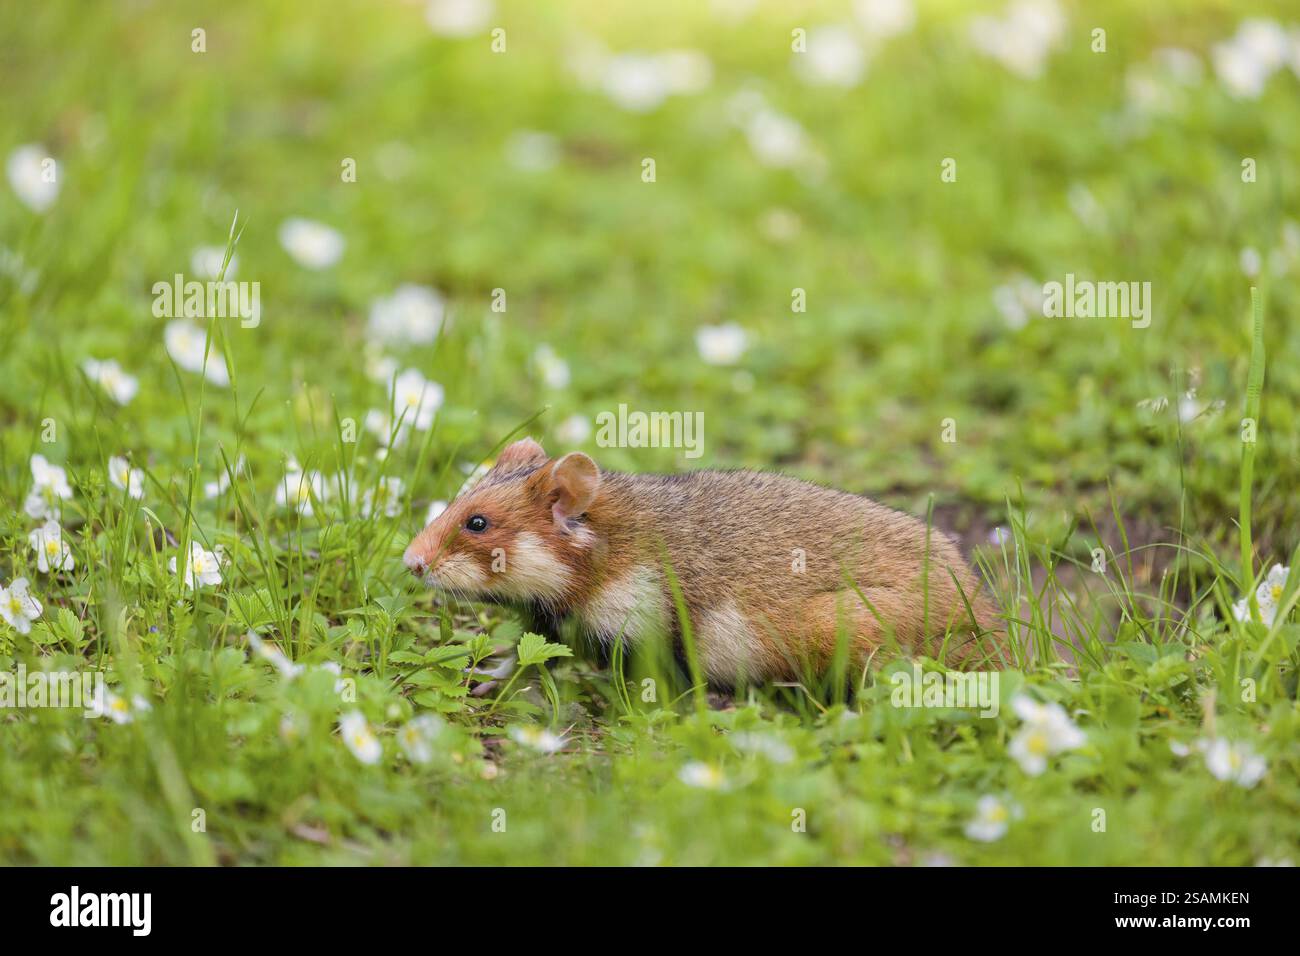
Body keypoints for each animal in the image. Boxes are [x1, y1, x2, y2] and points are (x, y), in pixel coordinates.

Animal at [404, 437, 1006, 688]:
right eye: (461, 496)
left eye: (477, 522)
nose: (410, 562)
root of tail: (991, 627)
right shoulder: (552, 627)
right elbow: (525, 660)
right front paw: (482, 677)